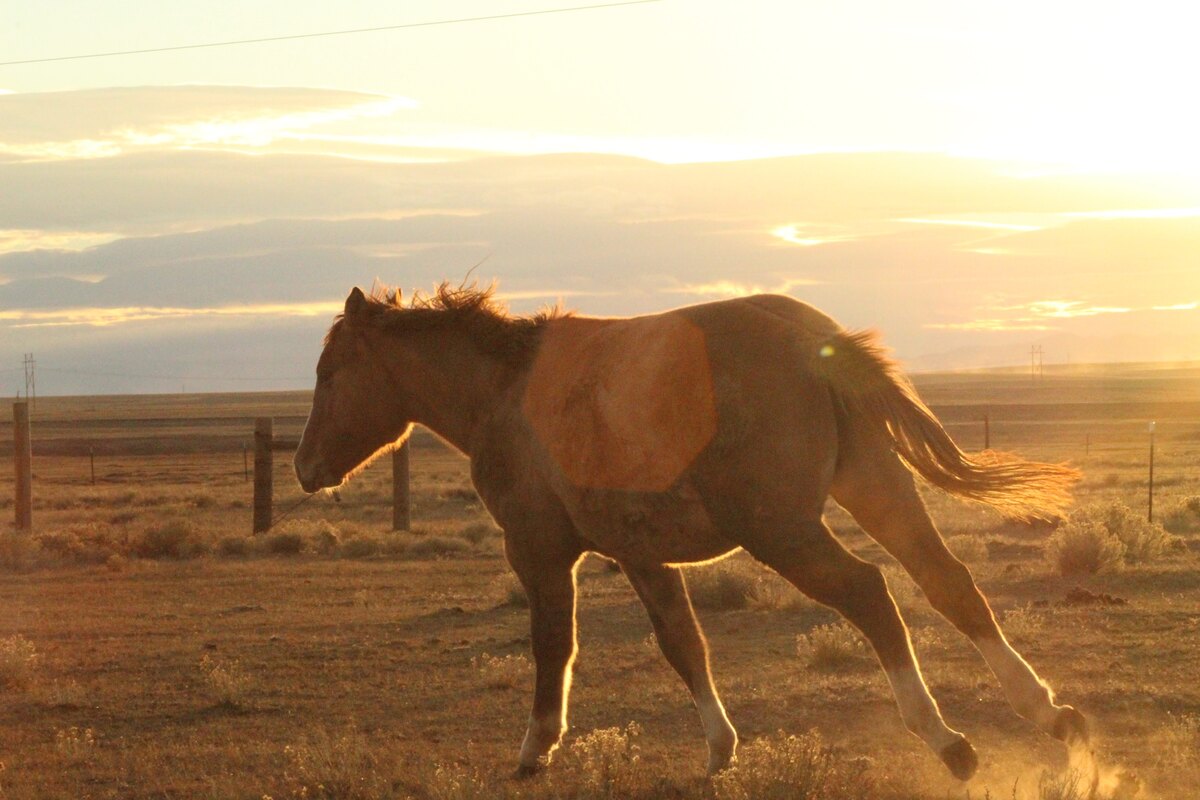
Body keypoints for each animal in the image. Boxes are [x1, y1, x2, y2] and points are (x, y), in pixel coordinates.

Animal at [294, 283, 1087, 781]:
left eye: (329, 372)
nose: (304, 467)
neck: (505, 392)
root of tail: (808, 335)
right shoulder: (641, 554)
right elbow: (684, 646)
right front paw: (719, 747)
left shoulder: (540, 552)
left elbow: (553, 647)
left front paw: (535, 749)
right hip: (876, 488)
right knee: (948, 582)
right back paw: (1048, 713)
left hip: (784, 531)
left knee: (871, 596)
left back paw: (948, 741)